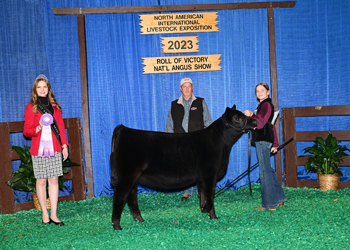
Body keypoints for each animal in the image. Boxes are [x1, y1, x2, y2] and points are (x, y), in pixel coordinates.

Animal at [110, 104, 258, 229]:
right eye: (237, 118)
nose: (255, 122)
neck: (222, 144)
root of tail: (124, 129)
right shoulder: (210, 174)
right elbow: (210, 194)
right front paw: (213, 216)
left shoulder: (201, 177)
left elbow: (203, 194)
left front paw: (203, 210)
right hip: (127, 175)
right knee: (120, 195)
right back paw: (117, 226)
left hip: (134, 177)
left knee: (131, 196)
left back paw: (139, 219)